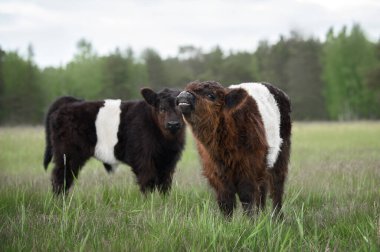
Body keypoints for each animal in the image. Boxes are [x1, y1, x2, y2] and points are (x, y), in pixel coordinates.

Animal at [177, 80, 292, 217]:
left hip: (281, 156)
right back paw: (262, 215)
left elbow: (247, 199)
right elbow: (226, 203)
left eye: (211, 95)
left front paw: (250, 221)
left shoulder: (248, 171)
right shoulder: (216, 175)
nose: (184, 95)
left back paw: (277, 218)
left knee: (276, 189)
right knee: (262, 190)